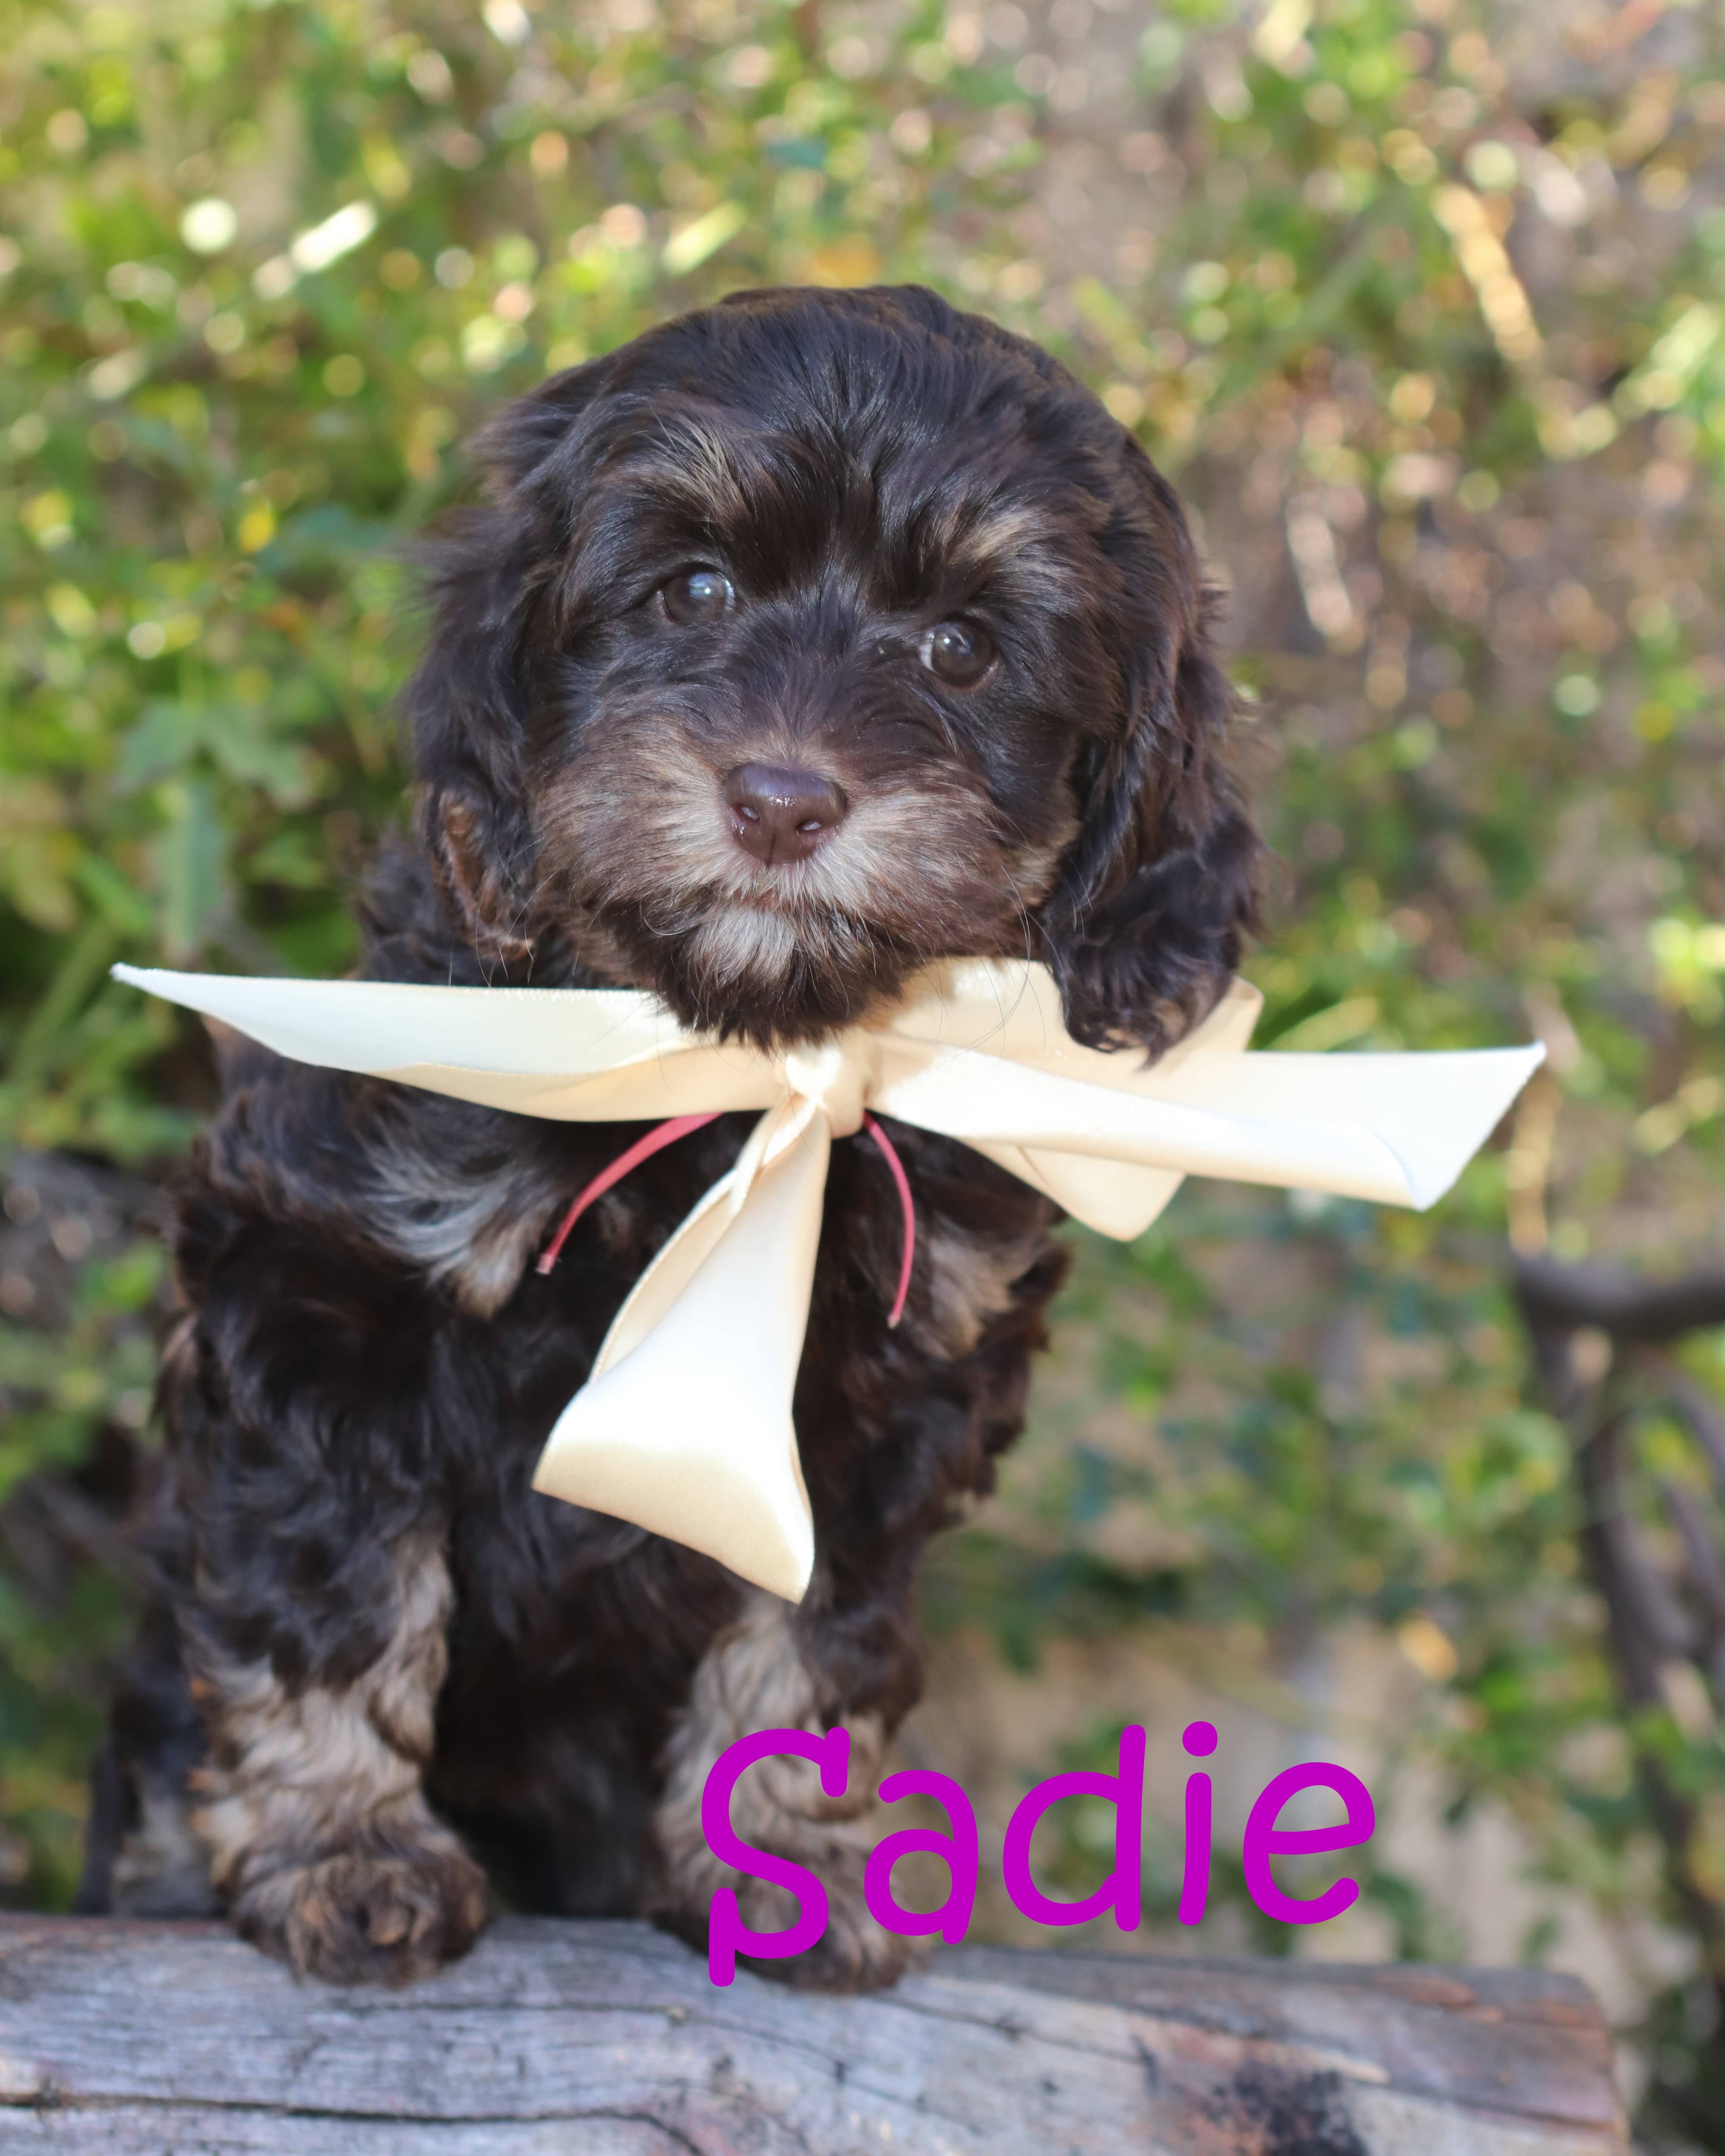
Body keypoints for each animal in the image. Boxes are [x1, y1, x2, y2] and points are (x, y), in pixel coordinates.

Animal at [81, 287, 1259, 1984]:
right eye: (690, 589)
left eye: (962, 649)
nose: (779, 798)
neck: (745, 1061)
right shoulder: (323, 1280)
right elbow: (333, 1586)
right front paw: (344, 1850)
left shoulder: (893, 1392)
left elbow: (815, 1636)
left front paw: (784, 1861)